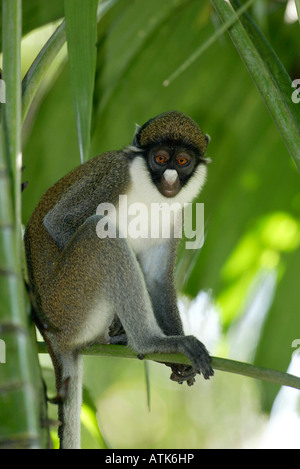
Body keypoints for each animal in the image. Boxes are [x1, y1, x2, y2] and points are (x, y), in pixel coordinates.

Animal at [24, 110, 214, 450]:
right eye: (160, 158)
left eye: (182, 161)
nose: (170, 179)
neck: (150, 192)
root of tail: (52, 338)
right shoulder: (113, 176)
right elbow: (58, 221)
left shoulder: (177, 214)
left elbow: (156, 278)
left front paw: (178, 363)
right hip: (68, 302)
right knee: (99, 234)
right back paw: (150, 342)